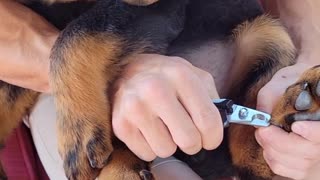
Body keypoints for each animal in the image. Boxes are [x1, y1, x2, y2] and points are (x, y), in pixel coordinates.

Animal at [0, 0, 318, 180]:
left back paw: (301, 105)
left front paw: (78, 131)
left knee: (258, 156)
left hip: (269, 35)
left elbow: (80, 33)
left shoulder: (156, 9)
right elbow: (7, 92)